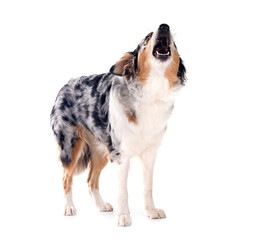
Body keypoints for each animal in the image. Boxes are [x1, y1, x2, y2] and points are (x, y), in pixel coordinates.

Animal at [50, 23, 187, 226]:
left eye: (175, 44)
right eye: (147, 37)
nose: (164, 26)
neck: (151, 91)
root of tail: (64, 86)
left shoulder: (150, 153)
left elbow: (148, 186)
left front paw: (151, 211)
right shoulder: (121, 153)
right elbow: (123, 190)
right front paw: (124, 216)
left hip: (100, 150)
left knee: (91, 180)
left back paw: (101, 206)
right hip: (71, 145)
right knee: (66, 178)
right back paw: (69, 208)